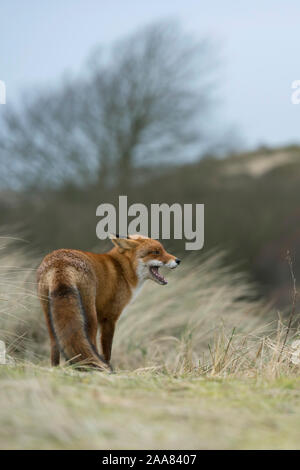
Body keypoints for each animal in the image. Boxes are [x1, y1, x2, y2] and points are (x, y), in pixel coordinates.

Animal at [36, 235, 179, 370]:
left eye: (162, 250)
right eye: (156, 252)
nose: (178, 260)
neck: (123, 269)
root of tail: (60, 263)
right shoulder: (109, 318)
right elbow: (107, 351)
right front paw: (108, 366)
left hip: (50, 316)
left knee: (55, 344)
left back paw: (54, 369)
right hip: (91, 318)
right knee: (90, 343)